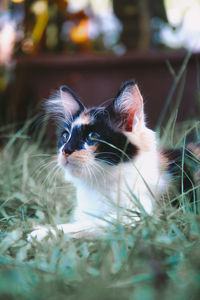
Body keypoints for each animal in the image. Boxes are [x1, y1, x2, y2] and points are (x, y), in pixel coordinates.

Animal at [28, 79, 196, 241]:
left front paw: (43, 232)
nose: (66, 150)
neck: (98, 183)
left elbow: (91, 223)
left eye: (92, 136)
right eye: (65, 136)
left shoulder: (139, 215)